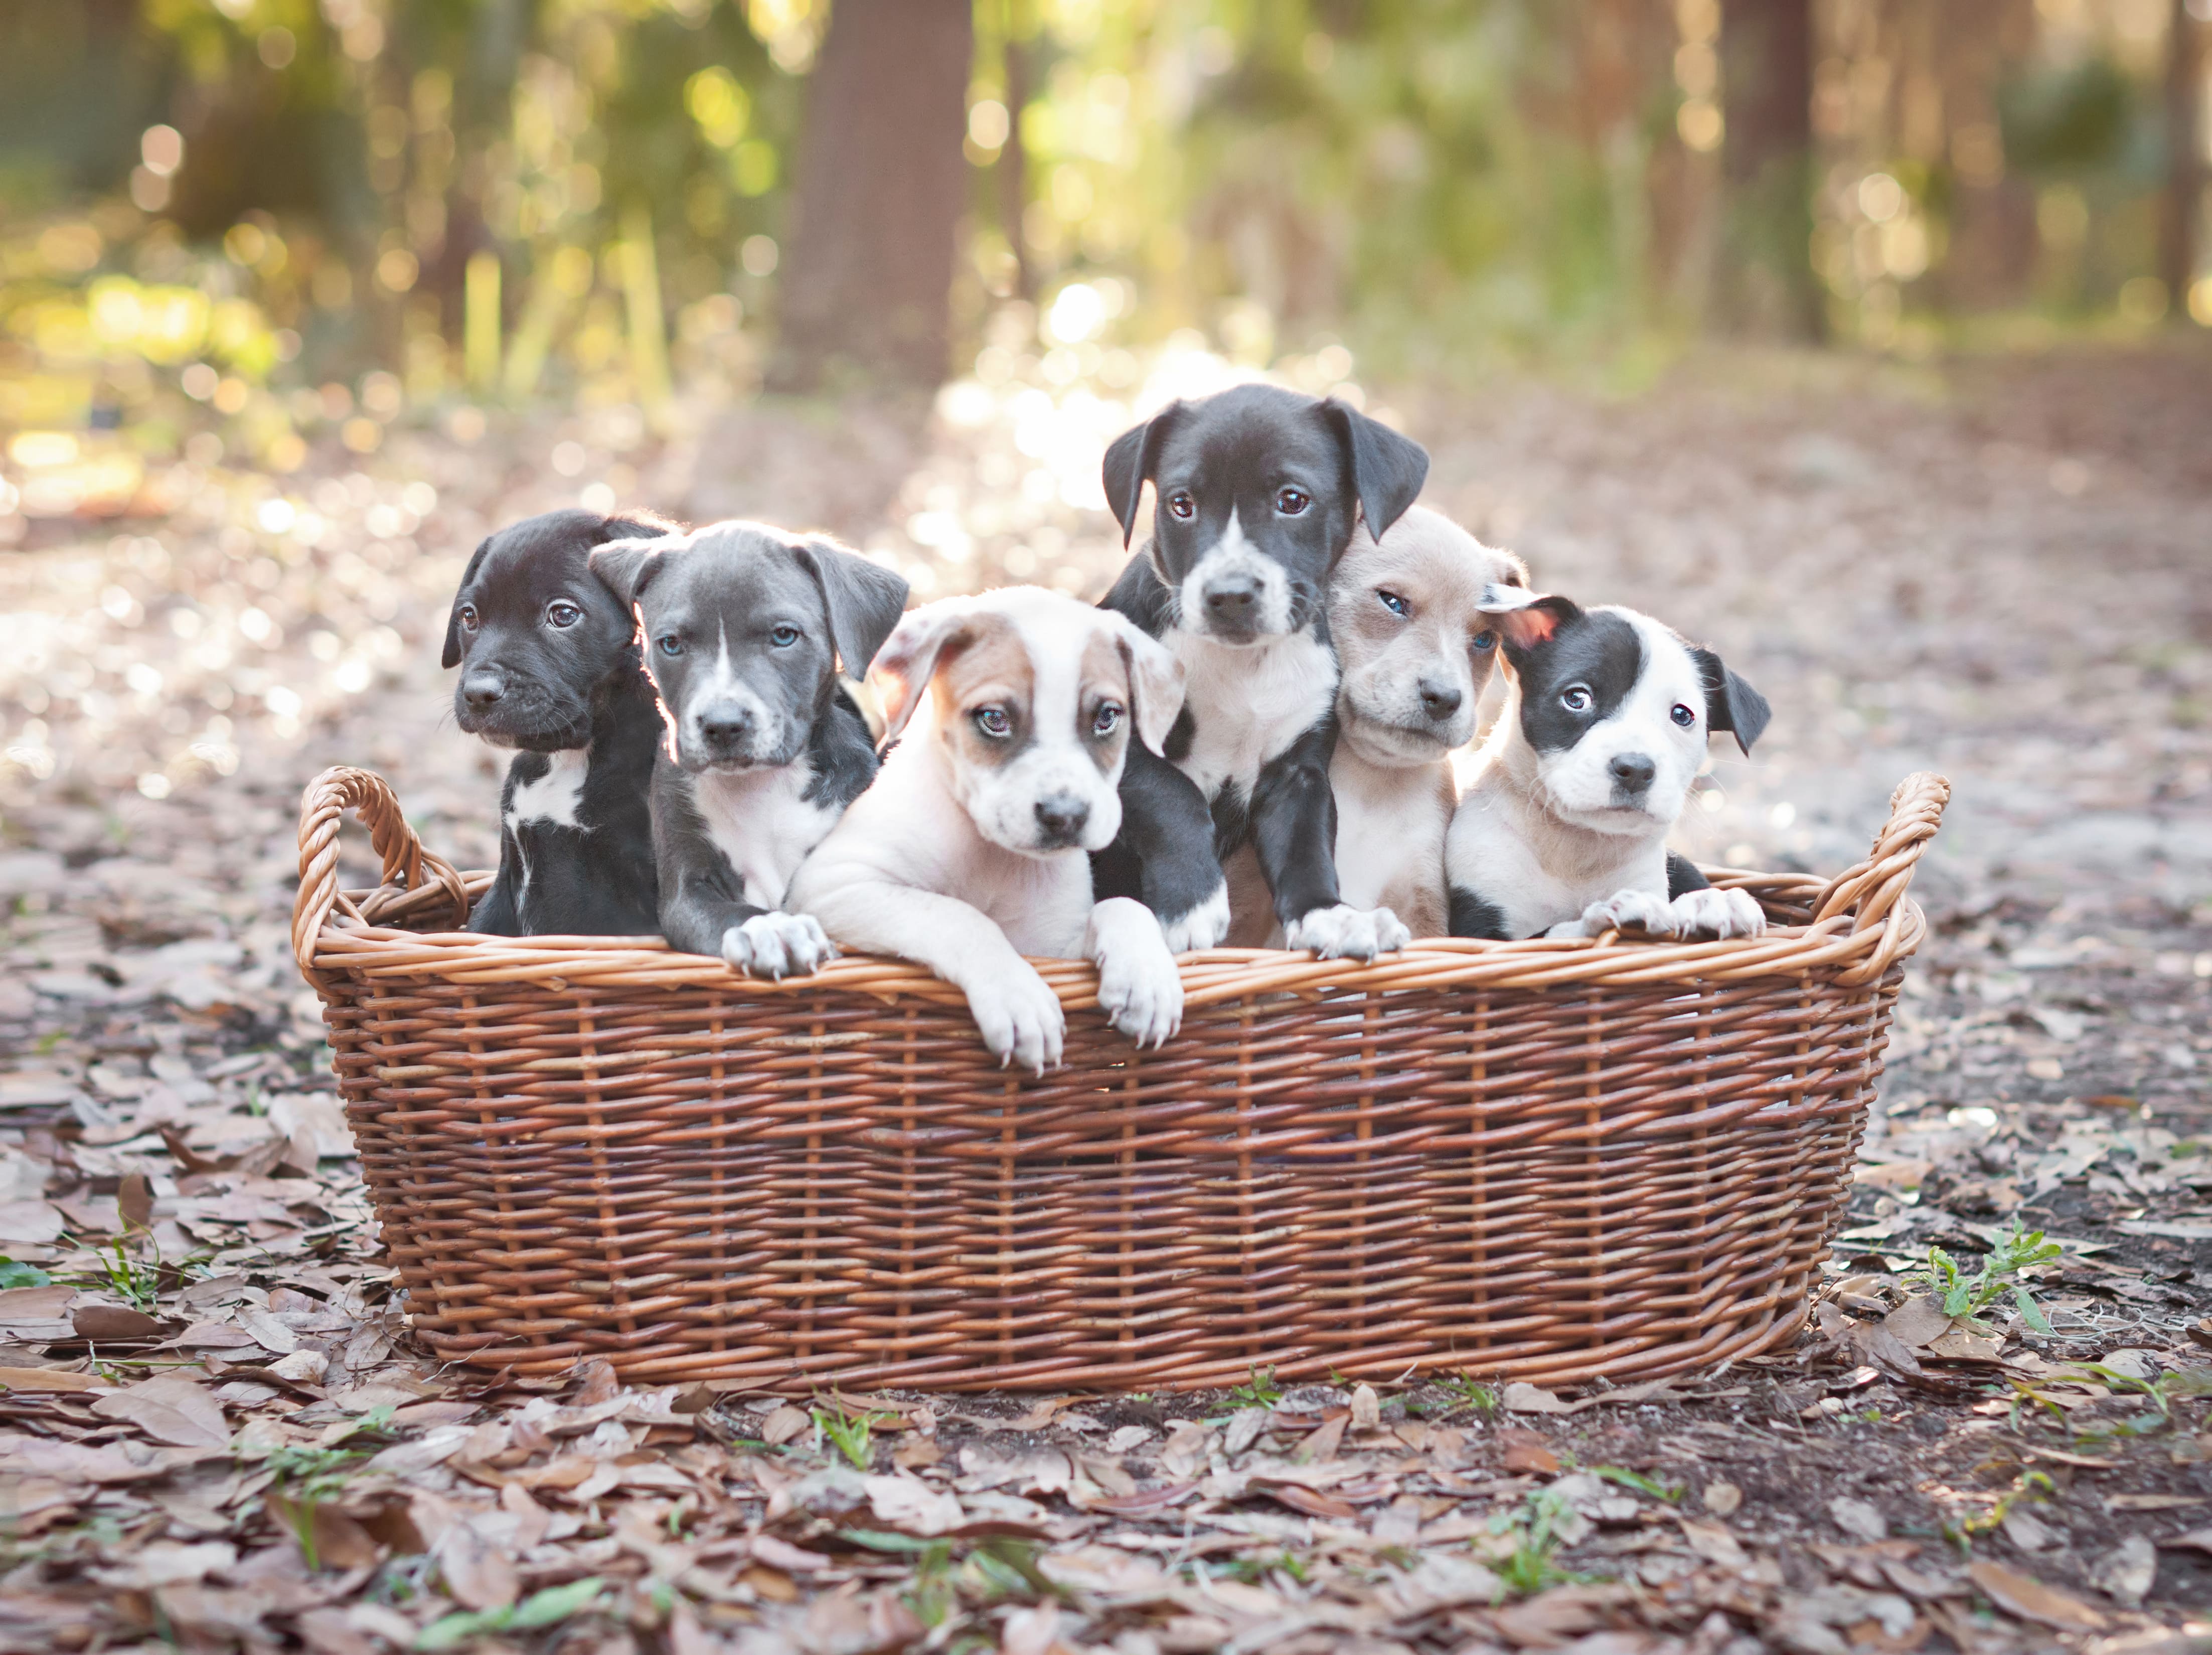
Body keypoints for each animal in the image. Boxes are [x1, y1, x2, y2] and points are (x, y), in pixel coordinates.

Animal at [588, 524, 907, 978]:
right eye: (671, 643)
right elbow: (732, 912)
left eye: (784, 635)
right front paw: (774, 930)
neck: (762, 785)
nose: (723, 725)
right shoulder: (687, 888)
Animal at [796, 579, 1194, 1075]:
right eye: (994, 719)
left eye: (1107, 717)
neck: (993, 856)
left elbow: (1123, 906)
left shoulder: (1051, 945)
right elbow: (958, 916)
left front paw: (1147, 979)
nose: (1065, 816)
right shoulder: (836, 885)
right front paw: (1018, 998)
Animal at [1092, 383, 1433, 964]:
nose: (1229, 594)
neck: (1245, 665)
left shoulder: (1298, 775)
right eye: (1182, 505)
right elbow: (1173, 795)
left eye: (1292, 500)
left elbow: (1307, 851)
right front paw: (1192, 905)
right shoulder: (1116, 743)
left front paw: (1331, 916)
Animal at [1442, 588, 1770, 938]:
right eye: (1577, 699)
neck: (1578, 848)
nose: (1636, 770)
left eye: (1683, 715)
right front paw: (1606, 913)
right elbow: (1550, 934)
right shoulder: (1481, 923)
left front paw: (1714, 902)